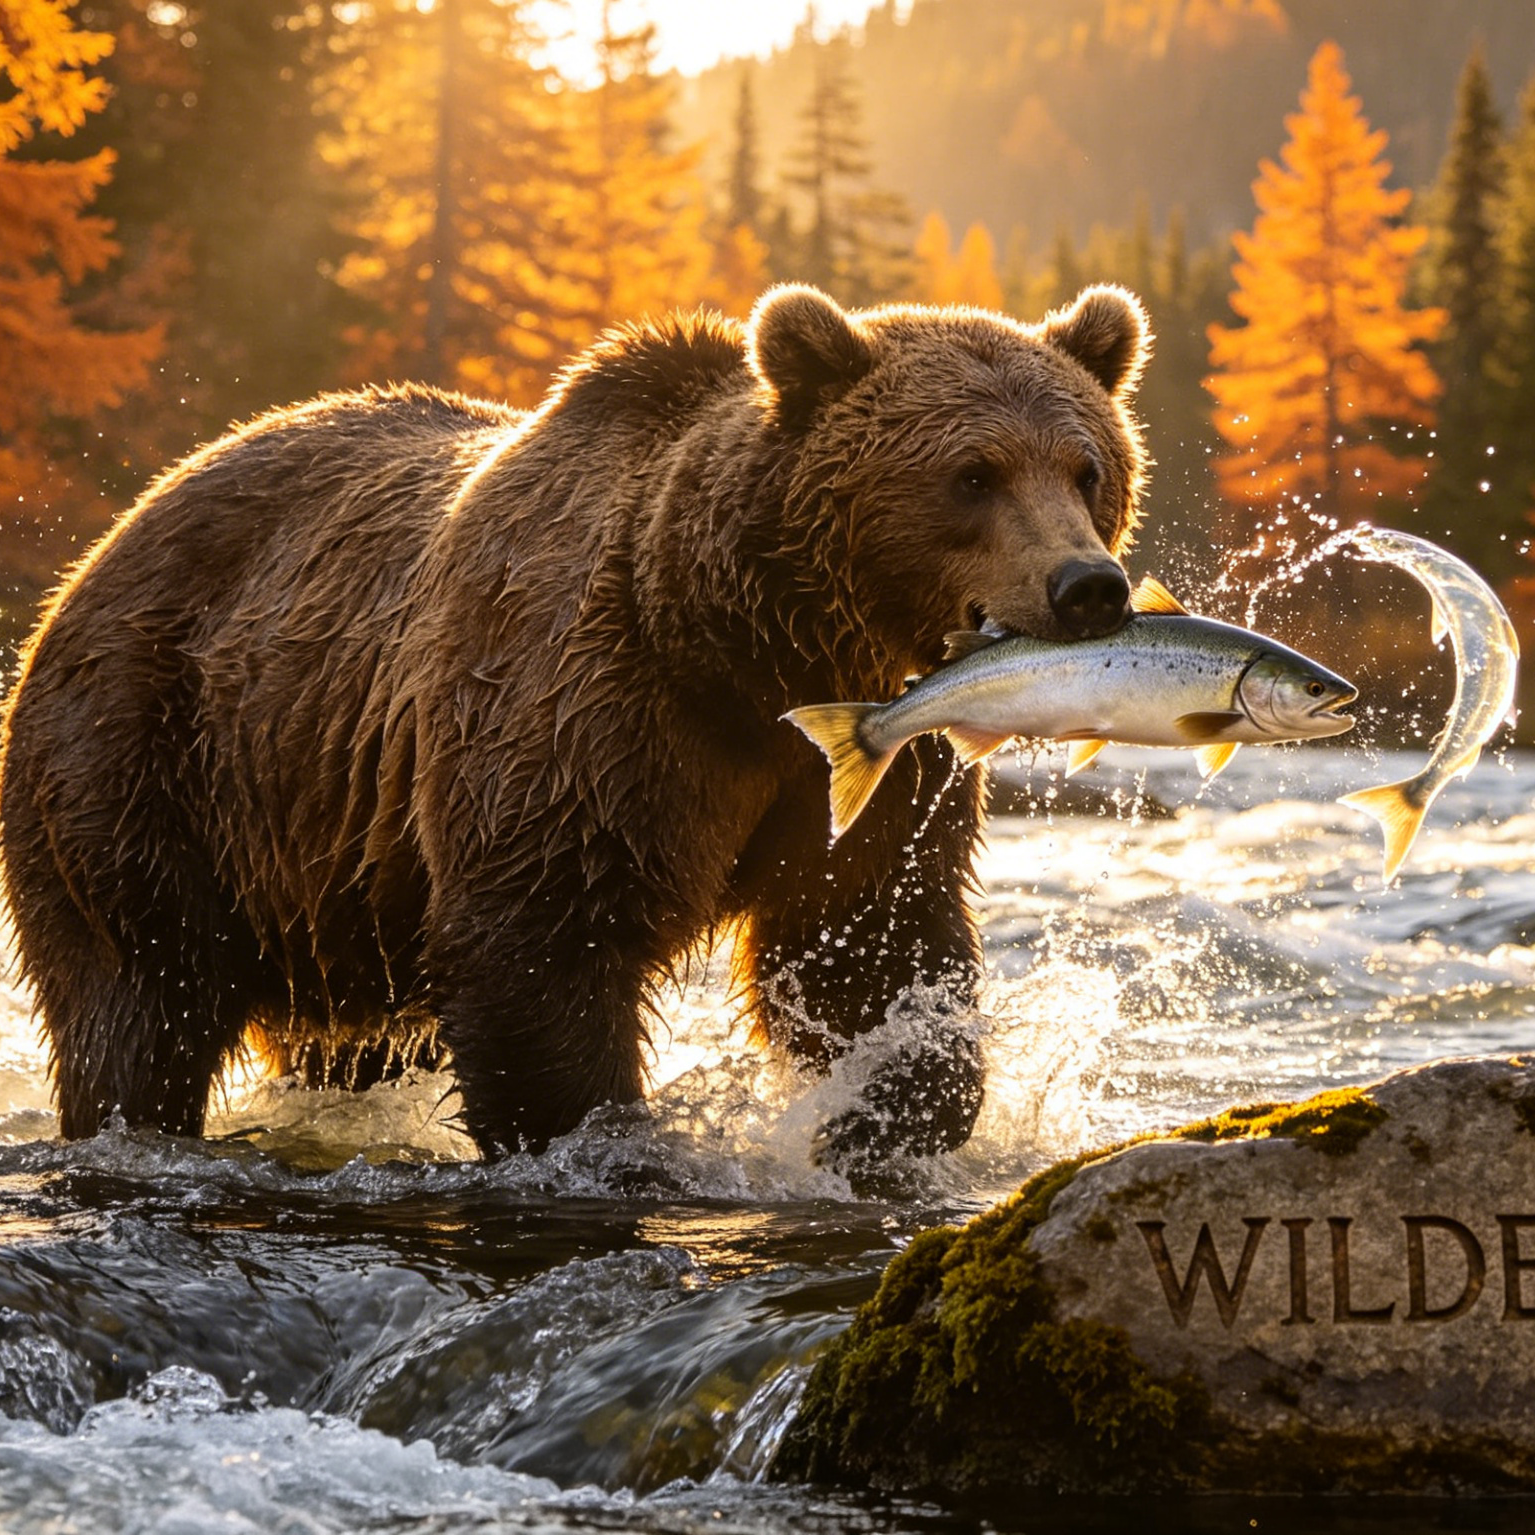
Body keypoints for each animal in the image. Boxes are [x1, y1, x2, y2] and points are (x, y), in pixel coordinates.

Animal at [0, 282, 1149, 1172]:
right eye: (971, 473)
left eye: (1085, 465)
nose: (1086, 585)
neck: (738, 646)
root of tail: (100, 549)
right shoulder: (582, 706)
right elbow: (540, 937)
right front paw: (602, 1134)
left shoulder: (875, 765)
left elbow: (867, 933)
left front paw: (887, 1116)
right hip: (143, 755)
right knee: (140, 995)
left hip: (319, 858)